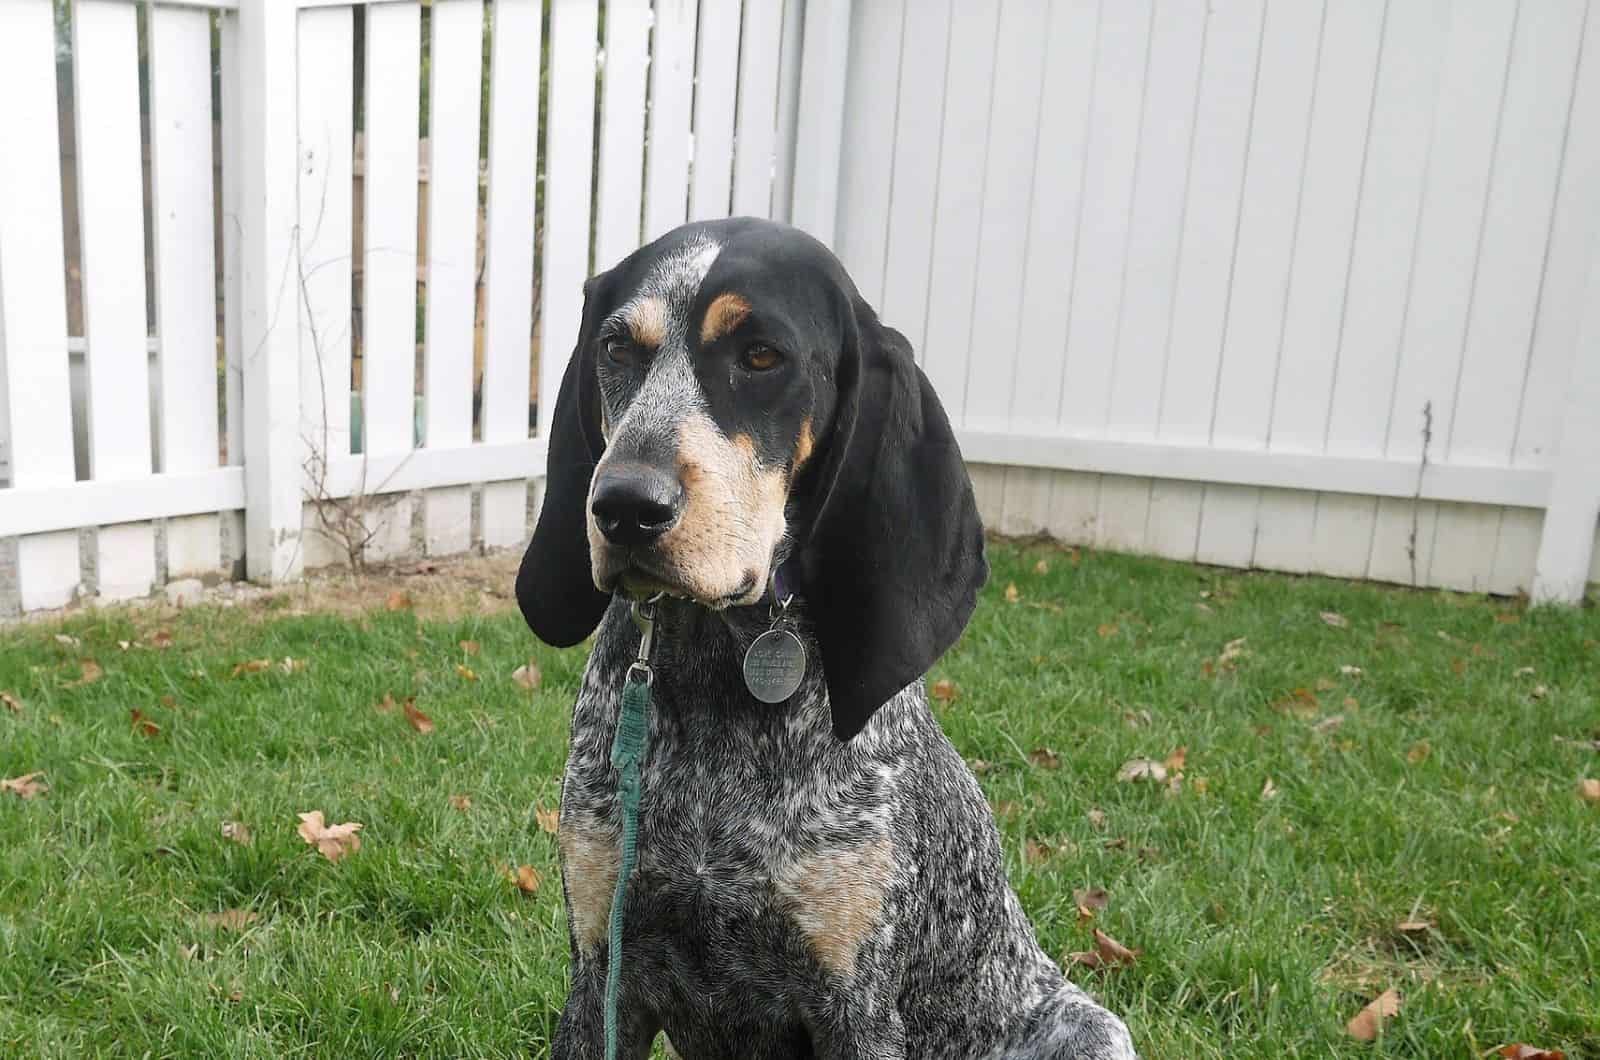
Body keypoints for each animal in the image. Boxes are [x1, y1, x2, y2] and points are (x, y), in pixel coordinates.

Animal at [518, 217, 1132, 1060]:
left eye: (761, 356)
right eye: (616, 350)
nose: (623, 507)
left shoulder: (856, 1008)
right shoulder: (600, 974)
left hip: (1092, 1027)